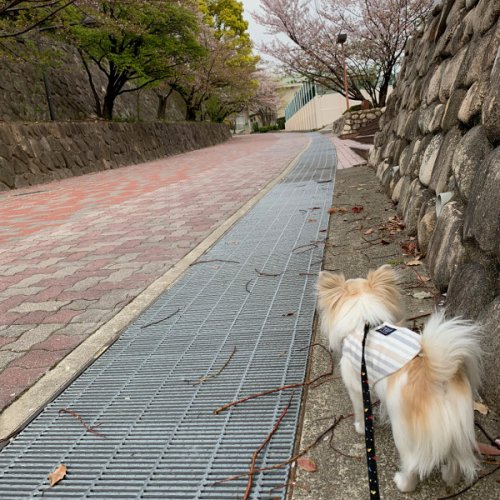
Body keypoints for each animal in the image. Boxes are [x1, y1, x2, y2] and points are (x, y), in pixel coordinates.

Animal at [314, 266, 482, 492]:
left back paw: (402, 483)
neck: (364, 322)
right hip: (458, 430)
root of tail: (439, 377)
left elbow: (359, 409)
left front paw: (360, 428)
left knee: (412, 465)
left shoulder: (356, 384)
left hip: (403, 433)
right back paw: (449, 477)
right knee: (456, 461)